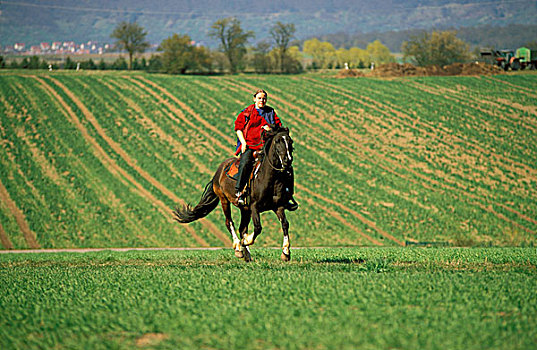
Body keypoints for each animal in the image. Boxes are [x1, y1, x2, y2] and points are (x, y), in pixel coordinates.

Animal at [174, 127, 296, 262]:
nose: (288, 160)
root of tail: (219, 170)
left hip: (245, 209)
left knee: (242, 228)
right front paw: (246, 241)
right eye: (277, 141)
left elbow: (285, 224)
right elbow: (258, 227)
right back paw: (238, 248)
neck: (270, 178)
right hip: (224, 200)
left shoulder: (278, 206)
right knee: (229, 223)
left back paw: (246, 254)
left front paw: (286, 252)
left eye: (290, 141)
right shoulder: (254, 206)